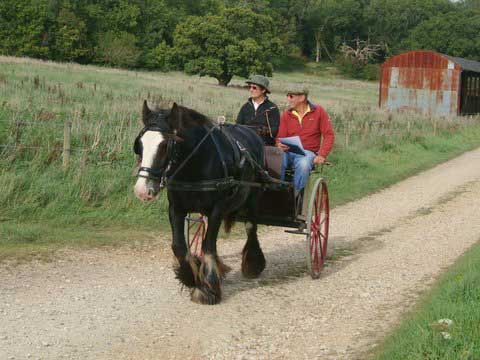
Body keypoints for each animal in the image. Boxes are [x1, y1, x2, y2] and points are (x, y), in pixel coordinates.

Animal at [134, 100, 266, 304]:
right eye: (140, 144)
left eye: (165, 145)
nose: (142, 191)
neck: (197, 163)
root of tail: (252, 133)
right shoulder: (176, 208)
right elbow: (179, 246)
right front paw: (190, 276)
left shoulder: (217, 209)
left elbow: (208, 245)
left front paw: (209, 287)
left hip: (253, 196)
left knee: (251, 227)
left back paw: (252, 264)